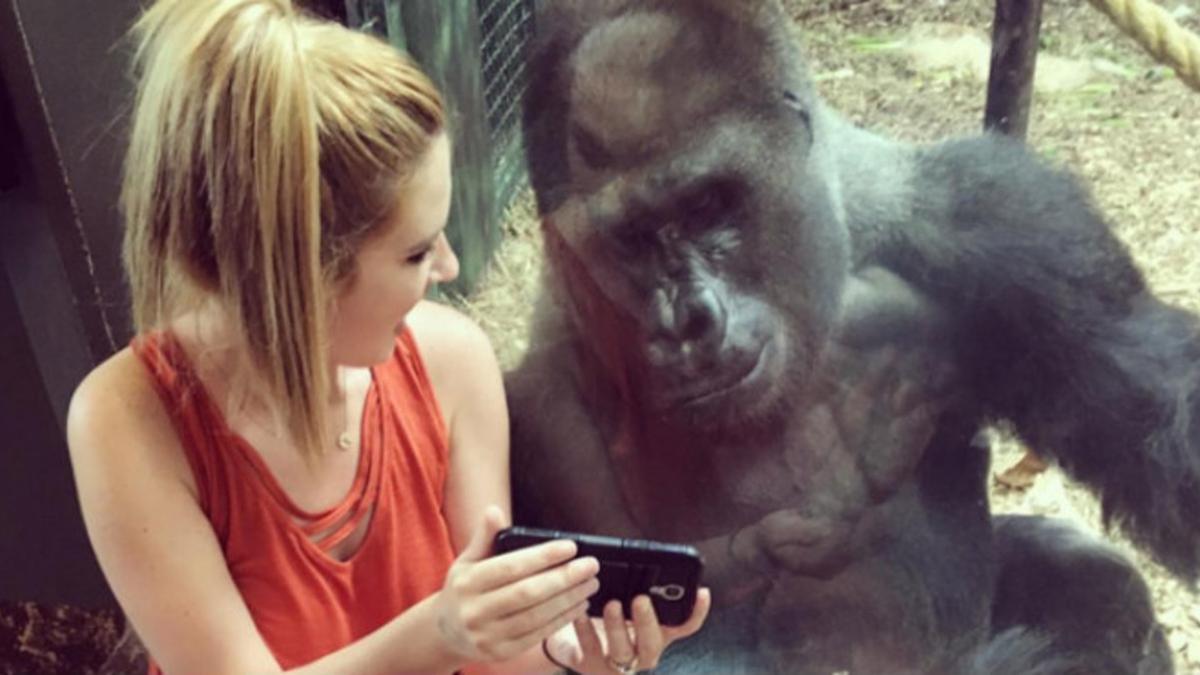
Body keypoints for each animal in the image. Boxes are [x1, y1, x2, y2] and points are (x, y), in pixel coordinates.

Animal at [501, 2, 1195, 667]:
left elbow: (1156, 419)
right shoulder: (544, 396)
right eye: (629, 241)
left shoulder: (1004, 218)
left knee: (1097, 579)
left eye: (706, 206)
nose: (691, 321)